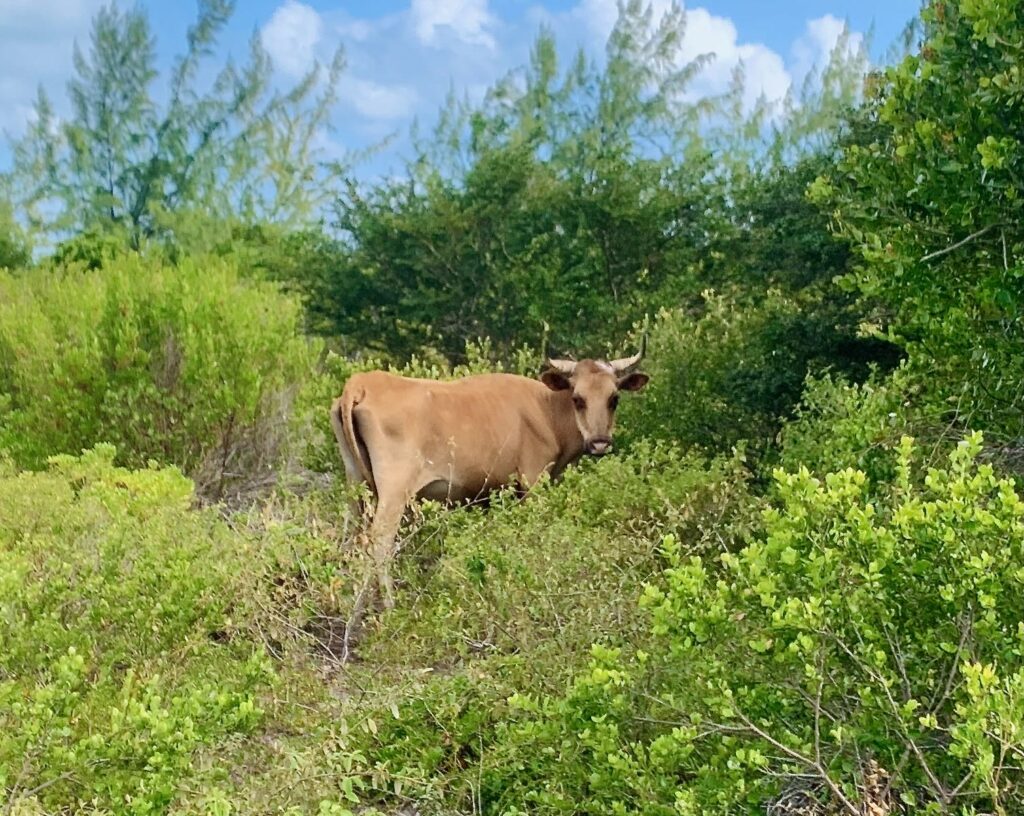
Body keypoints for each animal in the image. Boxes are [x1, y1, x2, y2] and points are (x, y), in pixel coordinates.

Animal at [329, 344, 649, 634]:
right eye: (578, 398)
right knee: (379, 542)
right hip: (394, 492)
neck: (546, 408)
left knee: (349, 541)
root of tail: (361, 384)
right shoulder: (532, 481)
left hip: (356, 487)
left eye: (613, 398)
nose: (599, 443)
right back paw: (388, 610)